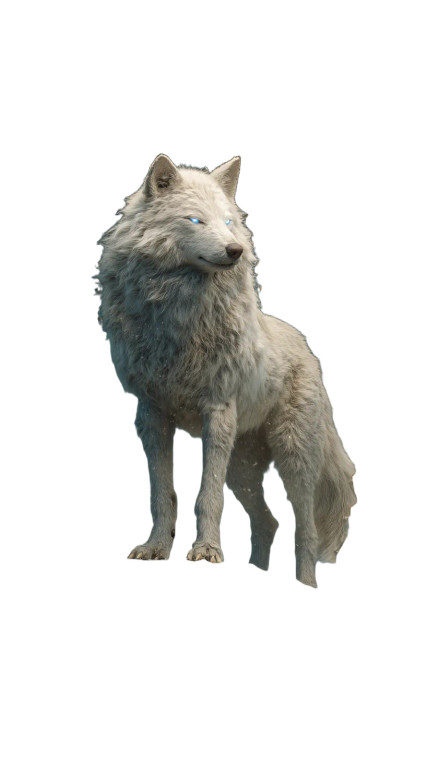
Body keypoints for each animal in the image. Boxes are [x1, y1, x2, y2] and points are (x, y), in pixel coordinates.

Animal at [96, 154, 357, 587]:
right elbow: (162, 494)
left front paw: (206, 552)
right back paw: (257, 572)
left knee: (305, 531)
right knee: (268, 522)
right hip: (244, 470)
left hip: (294, 459)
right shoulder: (151, 415)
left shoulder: (216, 412)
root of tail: (307, 348)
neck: (178, 318)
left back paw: (304, 585)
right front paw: (156, 548)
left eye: (229, 221)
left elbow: (207, 497)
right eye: (195, 220)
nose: (234, 250)